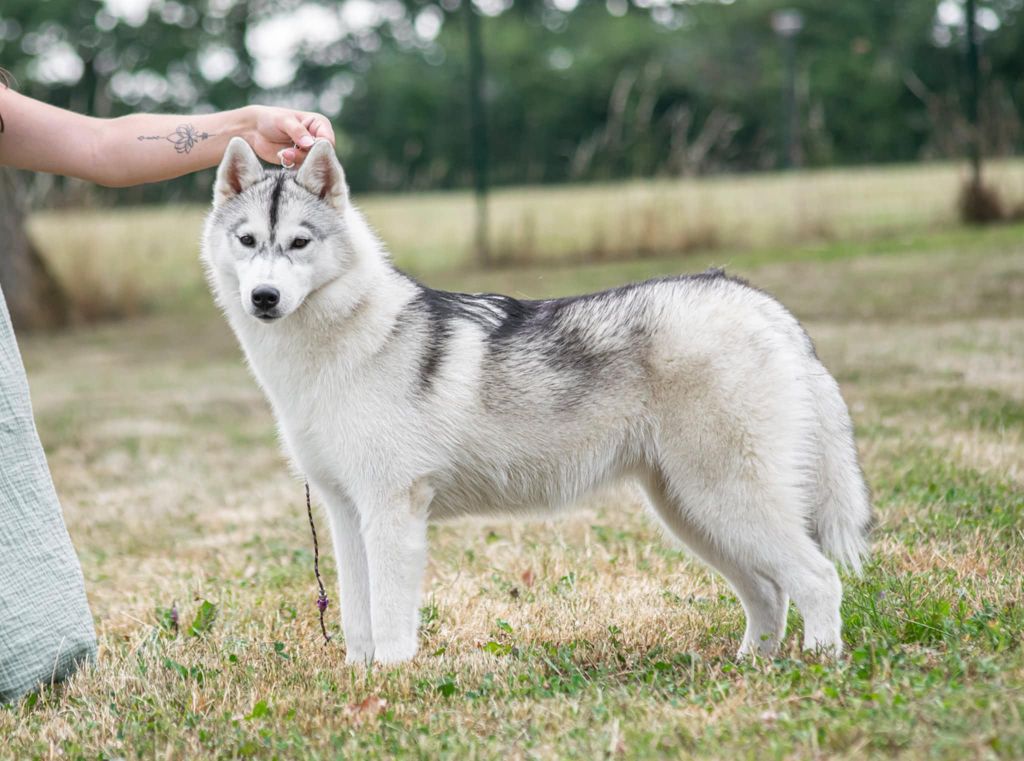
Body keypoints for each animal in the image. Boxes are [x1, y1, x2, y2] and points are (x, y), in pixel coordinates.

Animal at [202, 137, 872, 665]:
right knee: (769, 594)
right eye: (248, 240)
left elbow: (390, 620)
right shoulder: (346, 513)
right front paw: (358, 677)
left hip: (728, 501)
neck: (330, 351)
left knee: (819, 581)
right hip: (695, 514)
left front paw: (390, 682)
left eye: (299, 242)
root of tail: (754, 298)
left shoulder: (392, 509)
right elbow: (356, 619)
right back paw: (751, 665)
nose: (264, 297)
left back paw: (818, 663)